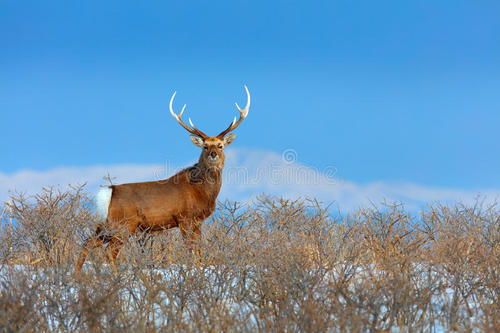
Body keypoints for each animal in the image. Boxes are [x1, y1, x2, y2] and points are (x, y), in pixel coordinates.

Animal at [76, 86, 250, 272]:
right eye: (205, 146)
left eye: (220, 145)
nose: (213, 154)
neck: (202, 192)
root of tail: (109, 191)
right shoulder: (184, 218)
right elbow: (190, 250)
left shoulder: (198, 222)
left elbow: (198, 252)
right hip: (123, 224)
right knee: (109, 252)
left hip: (105, 225)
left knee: (86, 244)